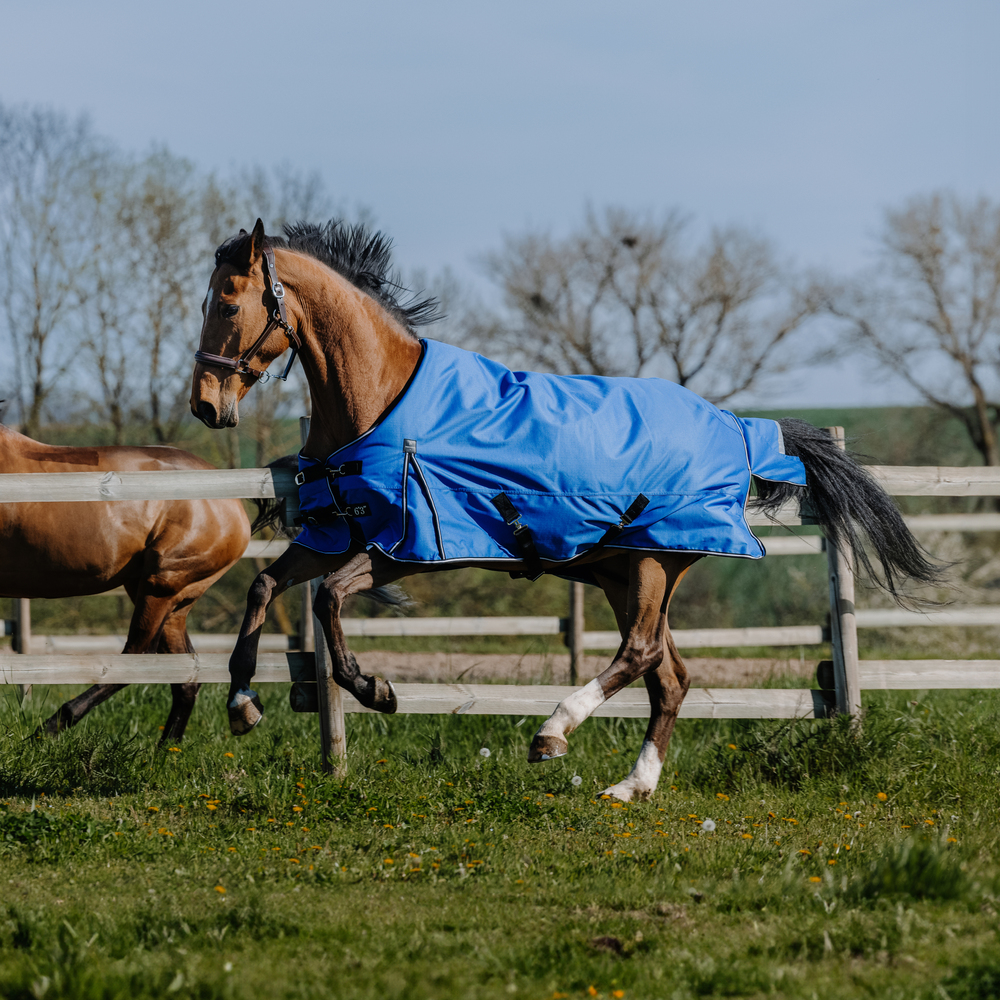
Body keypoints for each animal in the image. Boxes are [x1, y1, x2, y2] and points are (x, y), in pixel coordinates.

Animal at [0, 424, 250, 743]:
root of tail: (236, 505)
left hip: (162, 585)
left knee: (139, 656)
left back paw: (49, 729)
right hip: (169, 599)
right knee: (185, 676)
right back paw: (166, 750)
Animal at [189, 218, 941, 802]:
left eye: (227, 304)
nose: (205, 405)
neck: (378, 398)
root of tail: (740, 428)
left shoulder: (408, 548)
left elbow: (328, 600)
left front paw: (375, 690)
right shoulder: (334, 533)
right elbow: (265, 586)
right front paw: (242, 704)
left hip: (654, 560)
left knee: (641, 655)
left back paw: (553, 732)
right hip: (624, 574)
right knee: (671, 677)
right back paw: (632, 785)